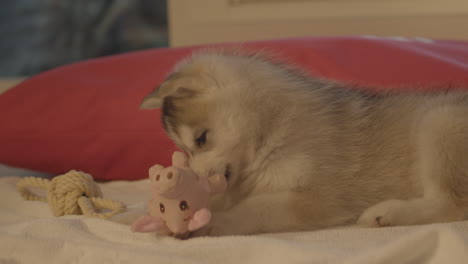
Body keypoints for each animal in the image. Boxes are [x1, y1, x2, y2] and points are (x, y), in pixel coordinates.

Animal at [139, 50, 468, 236]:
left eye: (201, 138)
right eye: (184, 151)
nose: (193, 177)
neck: (271, 134)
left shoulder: (314, 197)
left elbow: (254, 208)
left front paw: (211, 222)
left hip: (439, 121)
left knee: (454, 205)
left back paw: (388, 213)